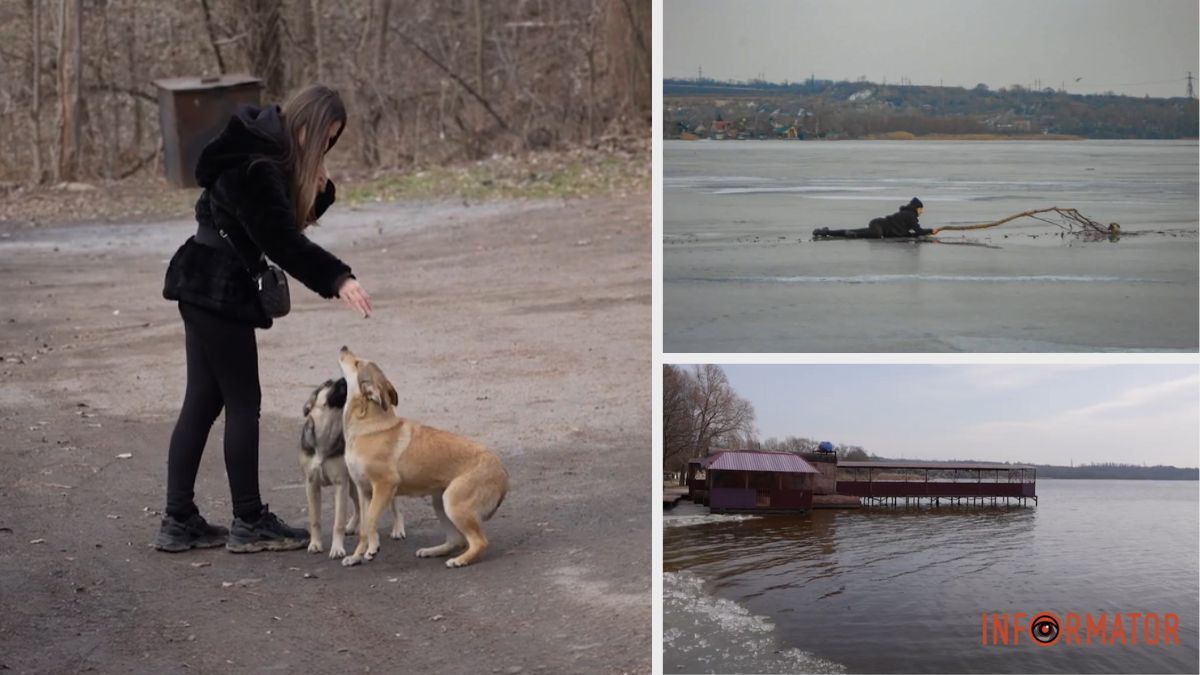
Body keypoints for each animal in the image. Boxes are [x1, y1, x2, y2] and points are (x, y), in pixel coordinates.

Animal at [300, 374, 408, 554]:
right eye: (328, 383)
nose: (344, 378)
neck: (325, 436)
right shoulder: (312, 484)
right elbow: (315, 519)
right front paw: (315, 543)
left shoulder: (340, 484)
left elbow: (338, 521)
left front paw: (337, 548)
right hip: (354, 484)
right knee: (359, 506)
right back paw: (354, 526)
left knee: (394, 505)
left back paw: (397, 529)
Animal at [338, 343, 511, 564]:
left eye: (357, 363)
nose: (344, 347)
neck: (369, 426)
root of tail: (503, 472)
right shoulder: (364, 491)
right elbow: (362, 530)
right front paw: (356, 556)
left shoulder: (385, 486)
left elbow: (369, 521)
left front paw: (373, 548)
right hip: (440, 502)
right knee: (457, 540)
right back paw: (433, 551)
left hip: (453, 503)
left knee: (479, 542)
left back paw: (460, 560)